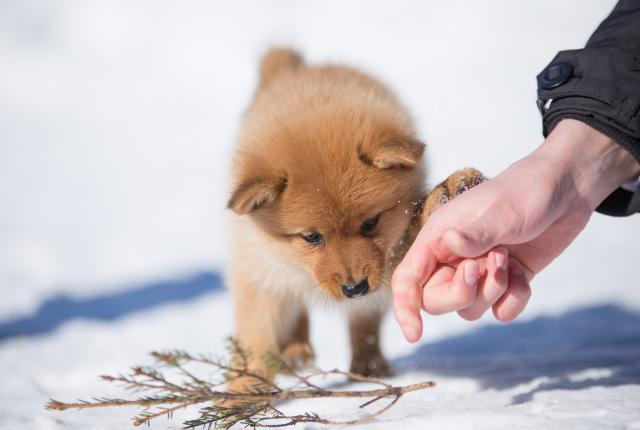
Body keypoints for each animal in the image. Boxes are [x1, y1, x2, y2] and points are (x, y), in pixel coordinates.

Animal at [228, 47, 482, 390]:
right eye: (312, 237)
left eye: (370, 223)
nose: (354, 288)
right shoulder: (259, 275)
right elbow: (255, 340)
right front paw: (245, 391)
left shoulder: (389, 259)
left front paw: (448, 195)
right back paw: (296, 353)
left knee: (365, 325)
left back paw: (368, 367)